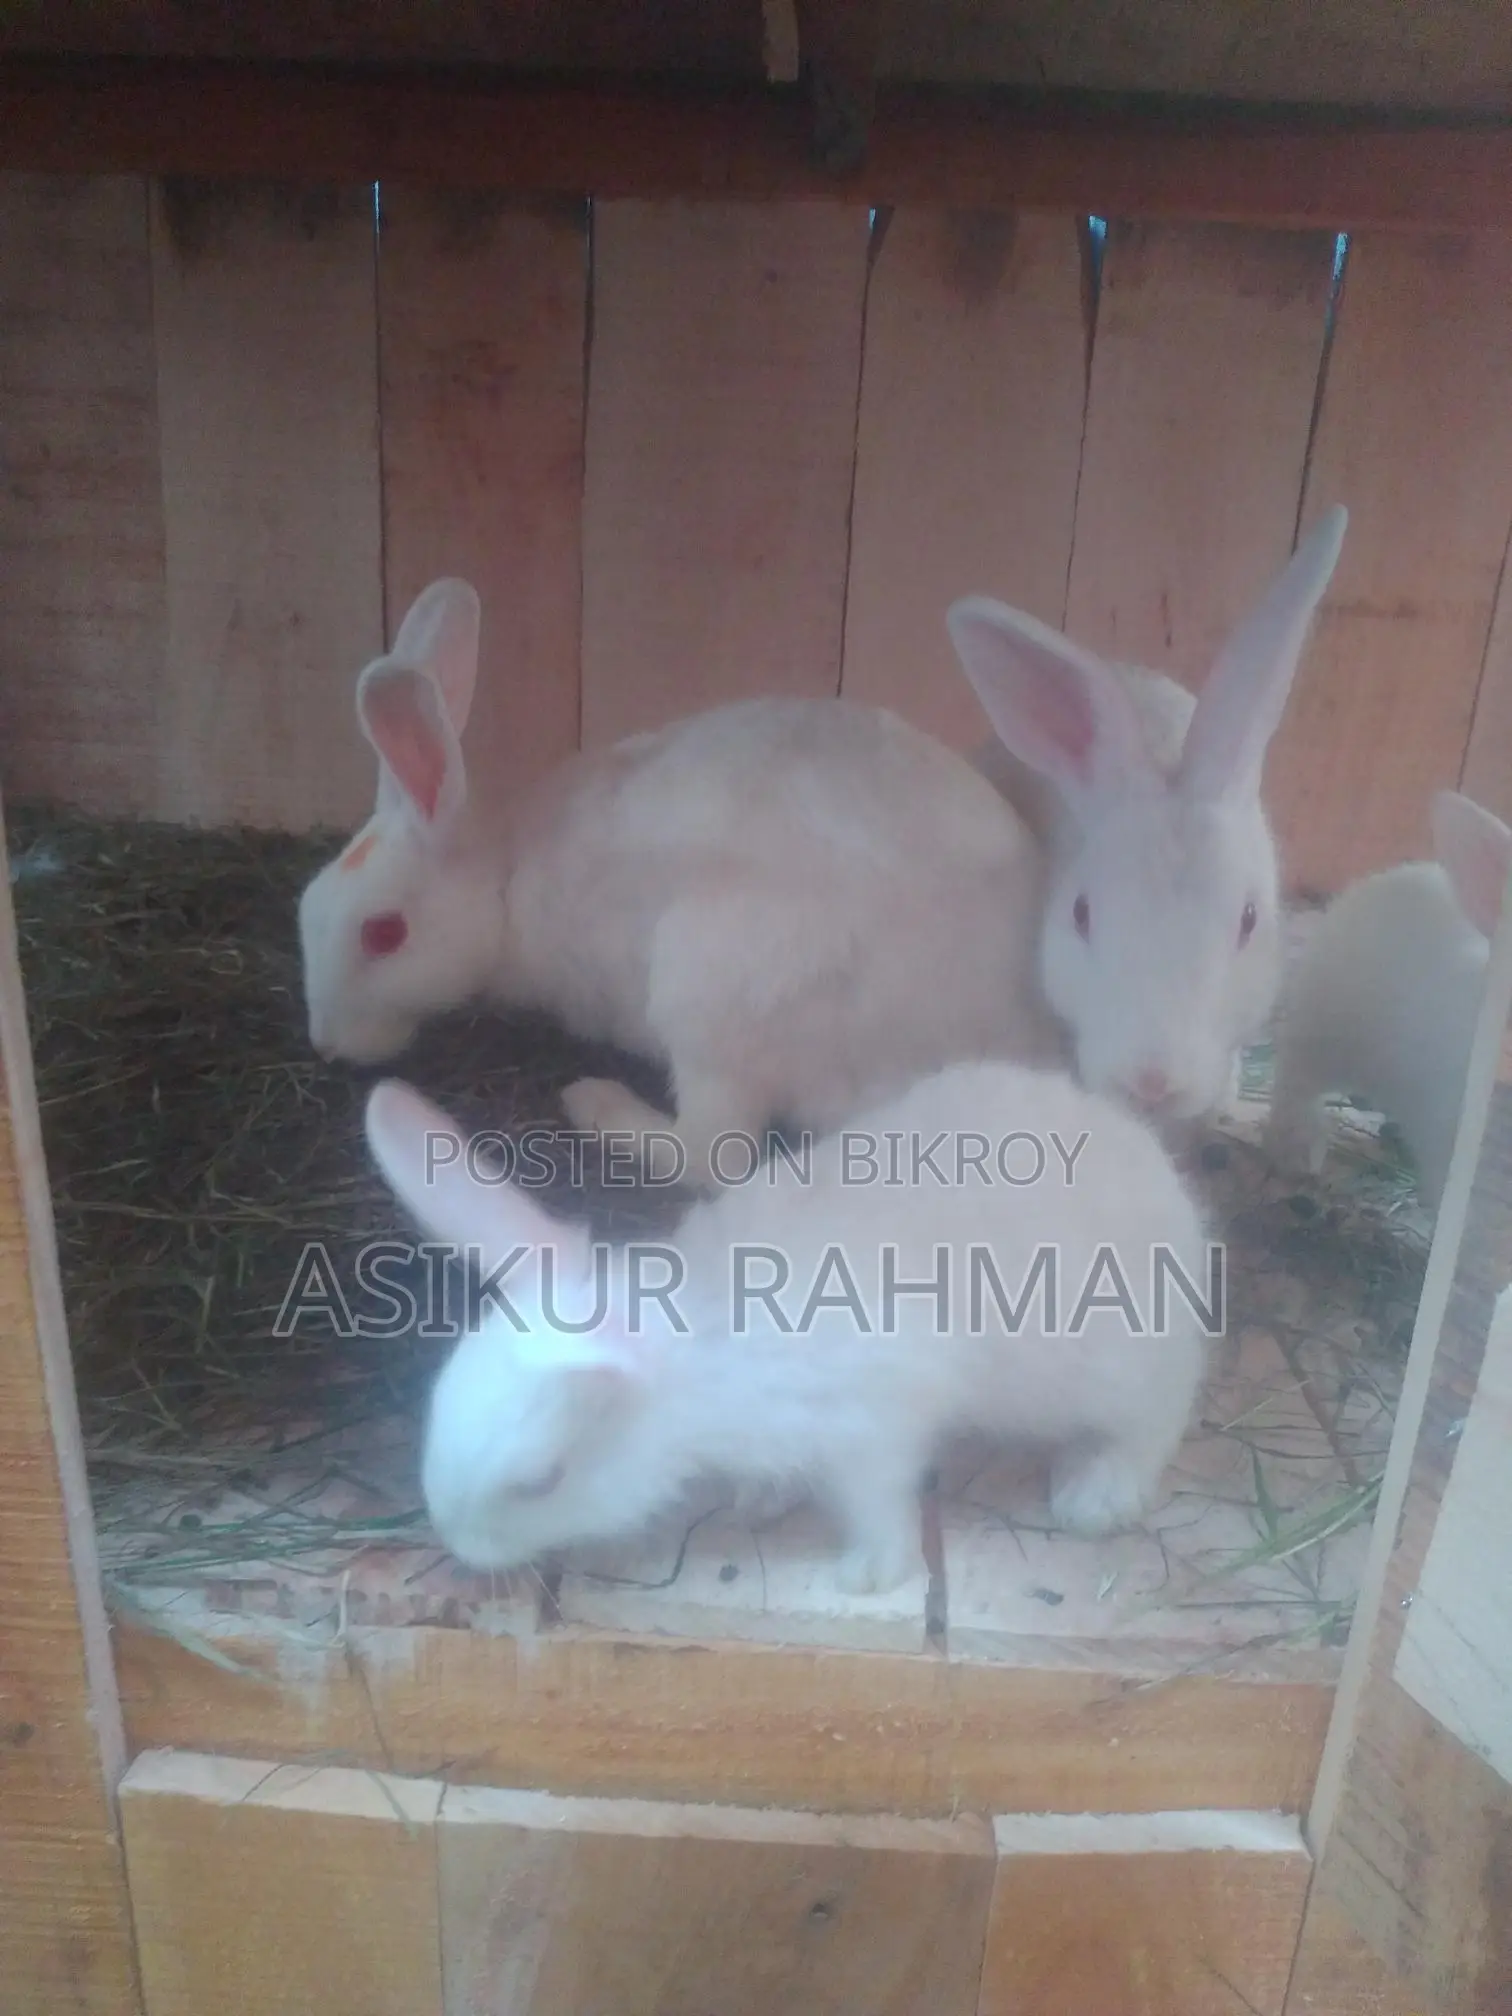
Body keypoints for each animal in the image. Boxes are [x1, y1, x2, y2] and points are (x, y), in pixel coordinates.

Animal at [298, 578, 1068, 1191]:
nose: (327, 1044)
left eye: (384, 933)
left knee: (714, 1157)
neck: (505, 883)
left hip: (709, 983)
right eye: (305, 910)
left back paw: (596, 1104)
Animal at [363, 1060, 1213, 1594]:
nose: (457, 1546)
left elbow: (878, 1508)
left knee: (1157, 1419)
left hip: (1119, 1370)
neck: (700, 1366)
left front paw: (866, 1577)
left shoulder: (870, 1431)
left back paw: (1093, 1497)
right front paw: (758, 1498)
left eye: (540, 1481)